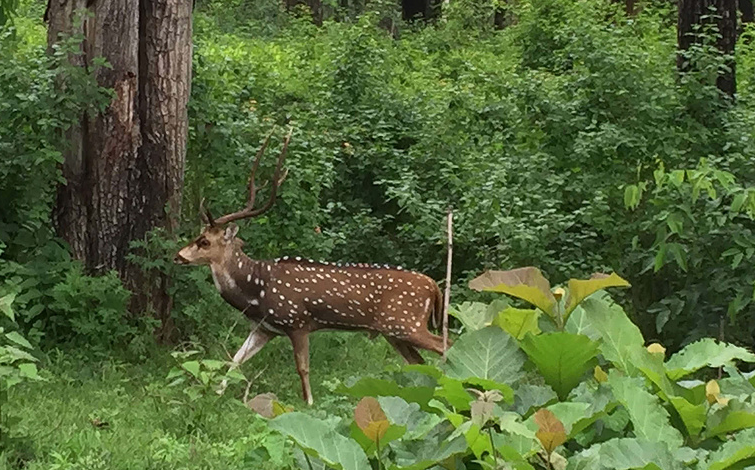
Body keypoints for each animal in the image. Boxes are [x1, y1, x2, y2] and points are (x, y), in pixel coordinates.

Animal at [174, 129, 448, 404]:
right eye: (198, 236)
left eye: (204, 241)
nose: (178, 256)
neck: (256, 291)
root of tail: (434, 286)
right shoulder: (264, 328)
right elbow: (234, 360)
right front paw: (215, 393)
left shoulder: (298, 321)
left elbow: (302, 368)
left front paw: (309, 402)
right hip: (393, 331)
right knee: (419, 361)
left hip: (405, 322)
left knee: (444, 344)